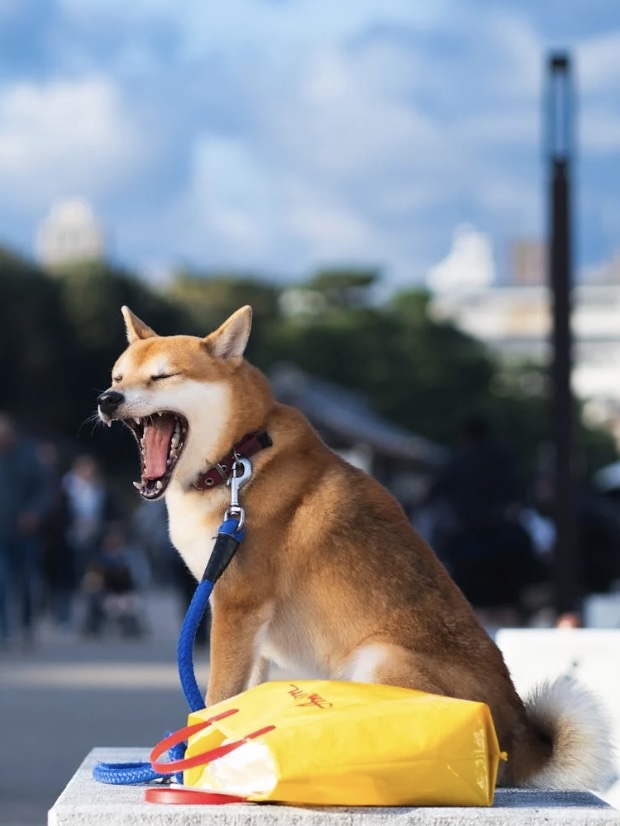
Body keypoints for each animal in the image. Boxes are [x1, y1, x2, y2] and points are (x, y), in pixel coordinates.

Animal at [97, 304, 612, 790]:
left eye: (164, 376)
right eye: (118, 377)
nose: (107, 400)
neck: (237, 460)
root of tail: (520, 741)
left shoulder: (235, 604)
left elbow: (216, 697)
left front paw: (198, 762)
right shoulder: (246, 625)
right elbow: (239, 697)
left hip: (379, 657)